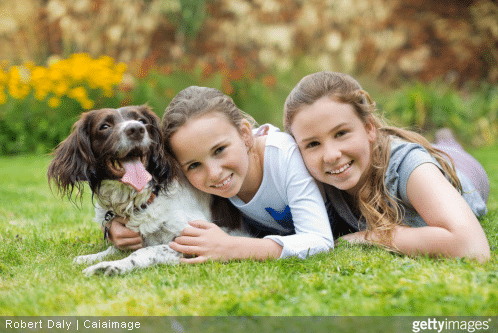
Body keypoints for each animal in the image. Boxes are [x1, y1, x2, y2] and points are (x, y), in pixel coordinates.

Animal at [47, 104, 246, 274]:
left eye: (142, 121)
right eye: (104, 126)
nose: (136, 129)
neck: (141, 201)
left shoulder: (193, 239)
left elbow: (143, 252)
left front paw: (109, 266)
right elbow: (115, 248)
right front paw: (91, 257)